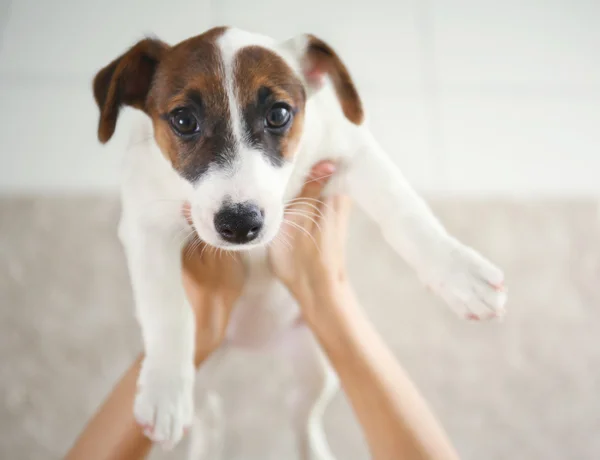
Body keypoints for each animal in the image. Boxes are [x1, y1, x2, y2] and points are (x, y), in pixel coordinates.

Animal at [92, 26, 506, 460]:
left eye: (278, 114)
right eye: (184, 120)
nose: (240, 224)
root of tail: (252, 343)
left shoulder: (352, 152)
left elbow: (404, 211)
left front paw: (461, 273)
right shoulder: (143, 222)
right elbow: (166, 307)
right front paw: (164, 390)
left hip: (319, 364)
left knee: (300, 412)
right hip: (206, 373)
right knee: (210, 413)